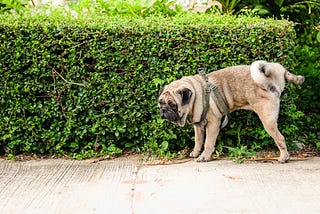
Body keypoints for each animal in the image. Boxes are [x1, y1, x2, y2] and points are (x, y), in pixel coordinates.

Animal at [159, 60, 304, 162]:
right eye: (160, 102)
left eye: (173, 105)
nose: (163, 109)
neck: (196, 94)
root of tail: (271, 79)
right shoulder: (198, 125)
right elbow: (198, 141)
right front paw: (195, 153)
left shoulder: (213, 124)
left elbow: (208, 142)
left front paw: (204, 156)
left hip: (268, 120)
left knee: (280, 138)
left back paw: (284, 157)